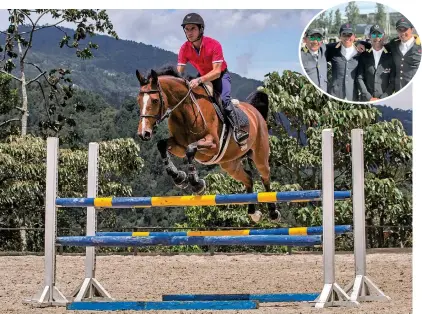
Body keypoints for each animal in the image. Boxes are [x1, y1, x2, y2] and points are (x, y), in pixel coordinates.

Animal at [135, 66, 280, 223]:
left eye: (155, 100)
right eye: (138, 101)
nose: (143, 133)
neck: (185, 110)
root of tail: (255, 112)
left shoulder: (213, 145)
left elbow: (190, 149)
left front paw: (196, 184)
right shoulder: (178, 145)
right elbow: (162, 145)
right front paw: (178, 177)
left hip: (260, 155)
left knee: (265, 177)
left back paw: (273, 212)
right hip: (230, 164)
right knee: (248, 178)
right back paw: (253, 212)